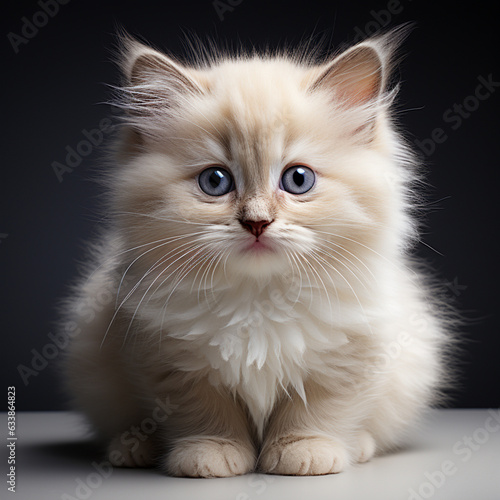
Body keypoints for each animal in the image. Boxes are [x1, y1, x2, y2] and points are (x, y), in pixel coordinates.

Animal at [61, 28, 454, 476]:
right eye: (215, 181)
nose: (257, 222)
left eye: (298, 180)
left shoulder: (349, 355)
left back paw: (360, 446)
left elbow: (318, 410)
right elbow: (205, 414)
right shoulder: (170, 361)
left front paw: (305, 451)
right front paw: (210, 453)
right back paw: (133, 449)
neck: (258, 299)